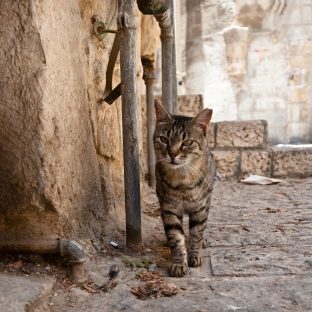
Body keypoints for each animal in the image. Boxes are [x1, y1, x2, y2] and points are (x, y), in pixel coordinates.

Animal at [153, 102, 214, 278]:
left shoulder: (200, 208)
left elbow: (196, 233)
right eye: (164, 139)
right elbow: (175, 237)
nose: (172, 154)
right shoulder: (169, 208)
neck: (183, 180)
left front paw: (194, 255)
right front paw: (179, 263)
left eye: (187, 142)